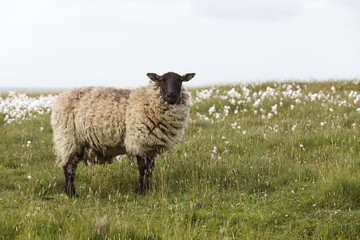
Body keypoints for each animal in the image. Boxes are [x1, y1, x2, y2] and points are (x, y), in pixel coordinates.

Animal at [51, 72, 194, 198]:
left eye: (180, 80)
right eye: (161, 80)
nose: (171, 95)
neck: (149, 100)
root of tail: (60, 98)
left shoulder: (151, 145)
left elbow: (150, 169)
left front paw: (147, 189)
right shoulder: (138, 141)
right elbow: (141, 168)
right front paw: (140, 191)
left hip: (76, 143)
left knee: (71, 166)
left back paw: (69, 192)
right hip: (67, 139)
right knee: (68, 168)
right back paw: (72, 194)